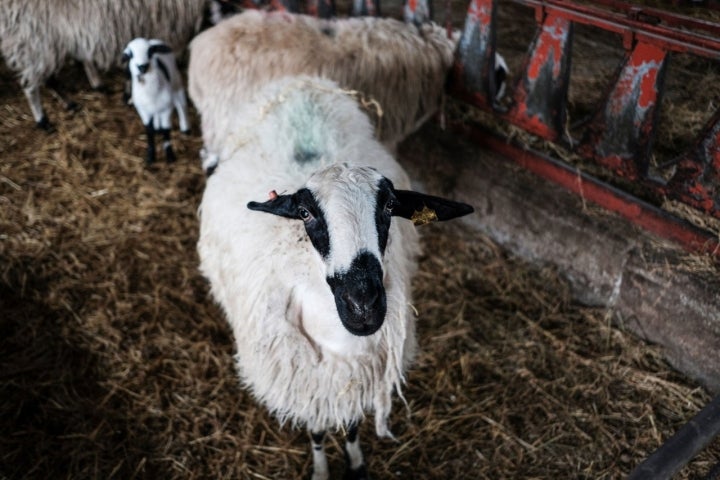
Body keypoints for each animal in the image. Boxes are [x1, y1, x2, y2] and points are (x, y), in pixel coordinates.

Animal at [0, 0, 208, 129]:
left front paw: (128, 95)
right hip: (34, 37)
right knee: (30, 85)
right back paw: (42, 120)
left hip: (49, 38)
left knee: (50, 76)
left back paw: (71, 101)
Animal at [124, 37, 191, 165]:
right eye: (130, 55)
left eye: (150, 52)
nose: (142, 66)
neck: (151, 93)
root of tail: (155, 40)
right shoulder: (143, 111)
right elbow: (149, 131)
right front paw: (150, 156)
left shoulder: (167, 108)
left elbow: (166, 130)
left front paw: (170, 155)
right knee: (156, 116)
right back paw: (157, 127)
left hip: (176, 83)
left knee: (181, 105)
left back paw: (185, 127)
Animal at [197, 76, 476, 480]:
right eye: (304, 212)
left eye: (390, 206)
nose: (363, 305)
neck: (341, 340)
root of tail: (300, 82)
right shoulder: (311, 381)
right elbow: (316, 429)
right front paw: (321, 468)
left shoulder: (356, 377)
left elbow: (353, 425)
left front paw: (356, 463)